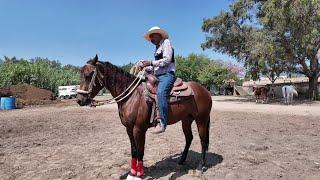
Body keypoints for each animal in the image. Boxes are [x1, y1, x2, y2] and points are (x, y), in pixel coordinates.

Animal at [77, 54, 212, 179]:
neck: (131, 96)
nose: (79, 100)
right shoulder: (129, 129)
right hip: (186, 120)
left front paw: (139, 174)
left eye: (89, 75)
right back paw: (181, 161)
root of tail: (205, 90)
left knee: (203, 140)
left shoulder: (139, 129)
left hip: (201, 120)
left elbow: (140, 150)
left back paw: (200, 166)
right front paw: (132, 173)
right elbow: (134, 150)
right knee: (189, 138)